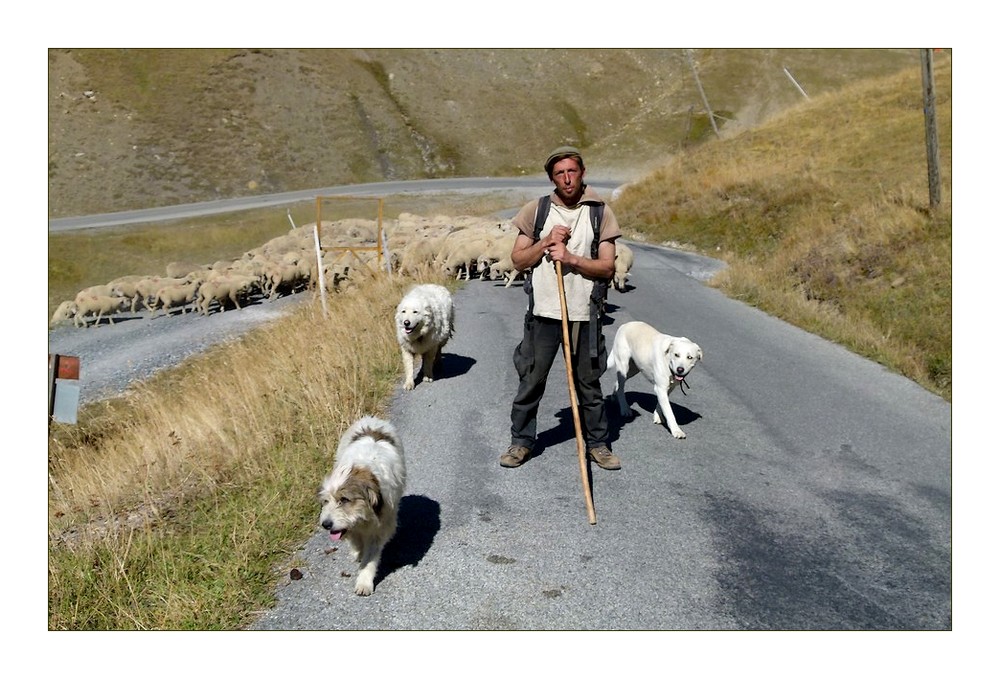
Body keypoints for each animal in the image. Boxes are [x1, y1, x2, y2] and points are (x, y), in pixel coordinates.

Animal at [316, 414, 402, 596]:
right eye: (326, 501)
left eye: (344, 500)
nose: (326, 524)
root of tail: (371, 420)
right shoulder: (351, 528)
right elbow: (355, 540)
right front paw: (358, 552)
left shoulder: (380, 527)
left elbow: (370, 557)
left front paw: (364, 582)